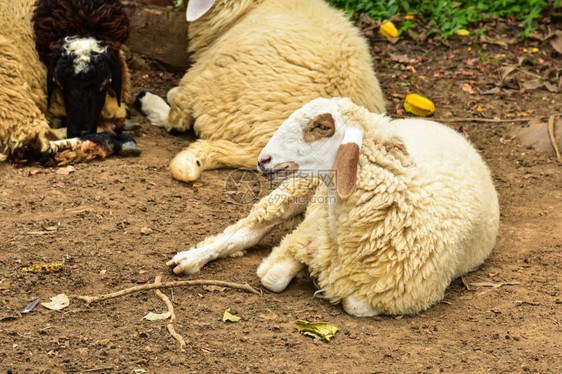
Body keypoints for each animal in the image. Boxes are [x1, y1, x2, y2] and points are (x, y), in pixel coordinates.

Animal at [0, 0, 139, 165]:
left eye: (104, 83)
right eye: (59, 83)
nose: (79, 131)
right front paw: (118, 111)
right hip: (9, 82)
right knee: (33, 145)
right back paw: (116, 138)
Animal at [166, 98, 498, 318]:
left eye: (322, 126)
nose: (263, 160)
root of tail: (438, 125)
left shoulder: (399, 296)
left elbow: (353, 303)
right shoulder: (308, 230)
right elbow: (272, 277)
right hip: (299, 187)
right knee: (249, 228)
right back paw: (190, 259)